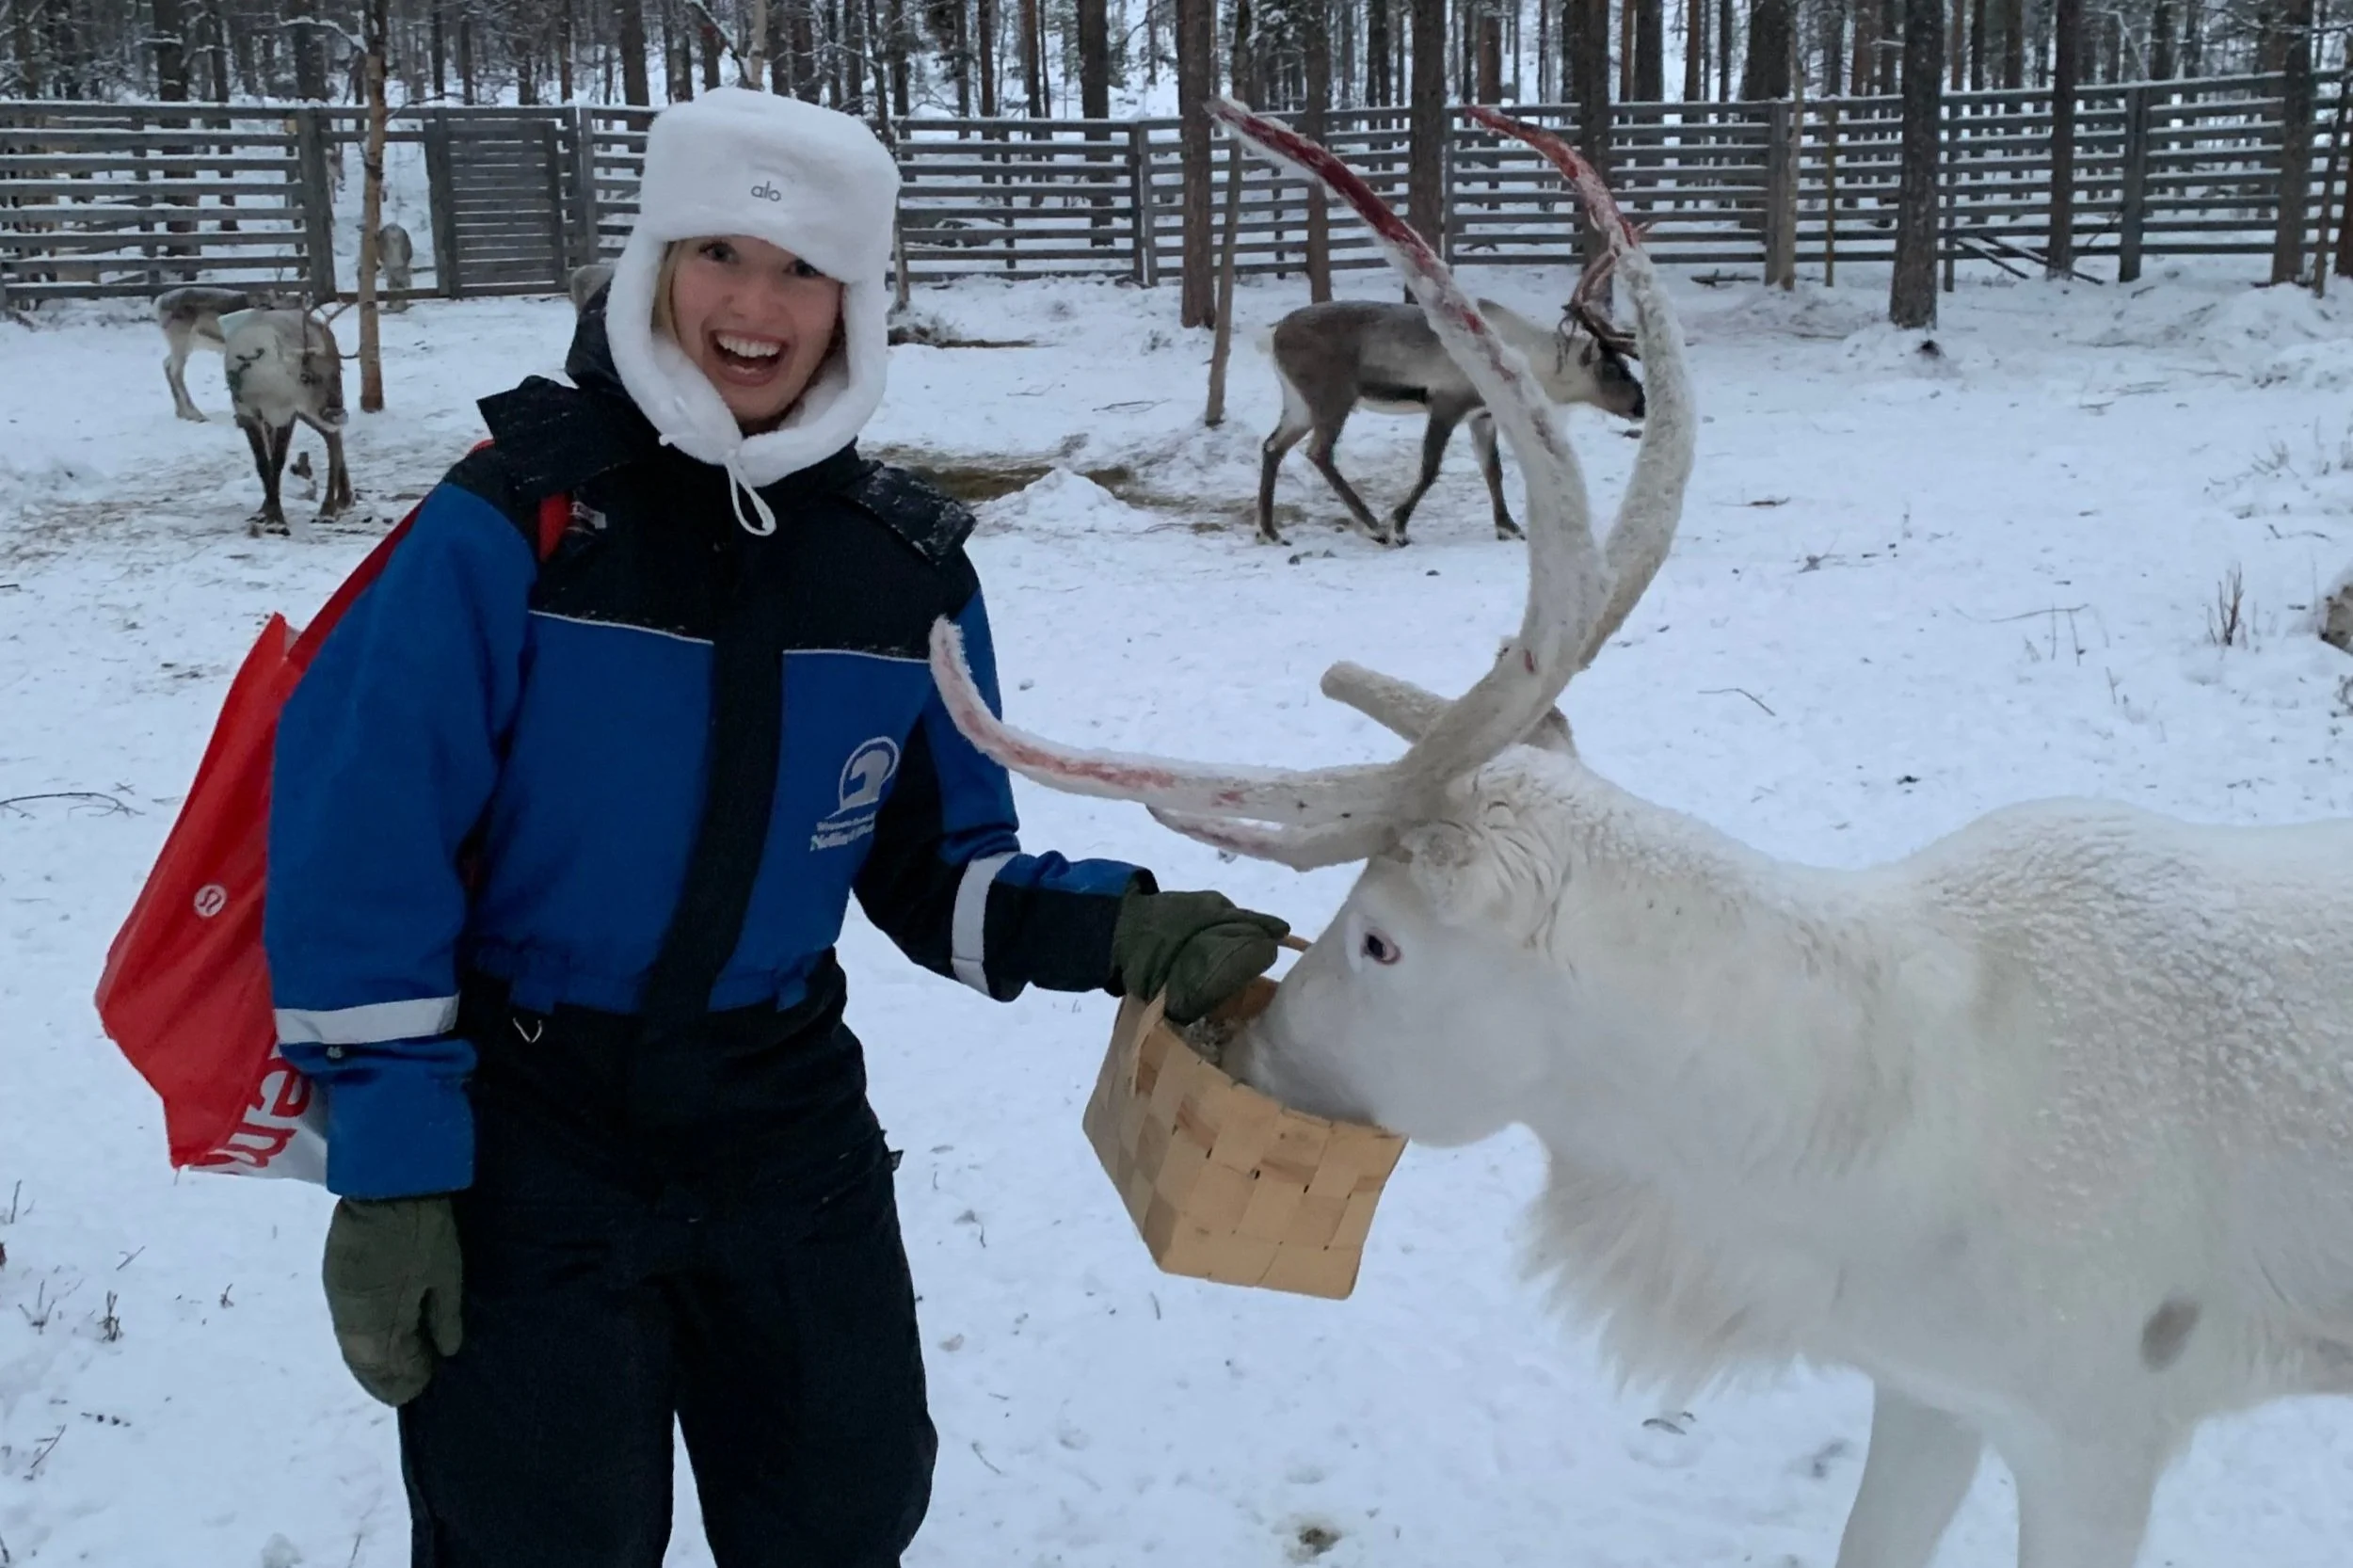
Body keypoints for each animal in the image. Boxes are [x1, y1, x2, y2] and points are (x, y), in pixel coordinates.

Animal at [221, 306, 353, 538]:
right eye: (305, 376)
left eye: (336, 374)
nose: (337, 414)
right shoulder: (248, 413)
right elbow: (263, 464)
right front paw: (266, 513)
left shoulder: (286, 413)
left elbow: (277, 463)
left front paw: (276, 521)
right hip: (307, 412)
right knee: (332, 436)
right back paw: (344, 501)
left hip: (310, 411)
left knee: (334, 438)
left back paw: (328, 510)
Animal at [1257, 250, 1646, 548]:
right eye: (1612, 368)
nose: (1640, 405)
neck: (1523, 357)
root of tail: (1275, 335)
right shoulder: (1447, 402)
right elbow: (1430, 467)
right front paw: (1399, 525)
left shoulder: (1483, 414)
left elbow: (1493, 469)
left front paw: (1508, 526)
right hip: (1333, 399)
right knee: (1318, 452)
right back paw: (1375, 526)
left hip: (1298, 403)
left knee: (1273, 446)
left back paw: (1269, 531)